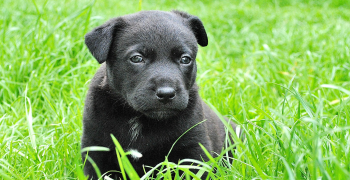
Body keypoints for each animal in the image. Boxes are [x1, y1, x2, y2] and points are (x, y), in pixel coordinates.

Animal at [80, 10, 237, 179]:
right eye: (137, 58)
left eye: (185, 59)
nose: (166, 94)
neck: (138, 119)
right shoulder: (95, 148)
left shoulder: (194, 149)